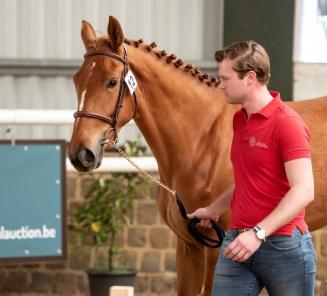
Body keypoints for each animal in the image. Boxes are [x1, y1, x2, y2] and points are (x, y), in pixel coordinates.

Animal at [68, 16, 327, 296]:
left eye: (112, 82)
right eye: (77, 80)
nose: (80, 154)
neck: (201, 140)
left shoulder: (216, 250)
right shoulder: (188, 247)